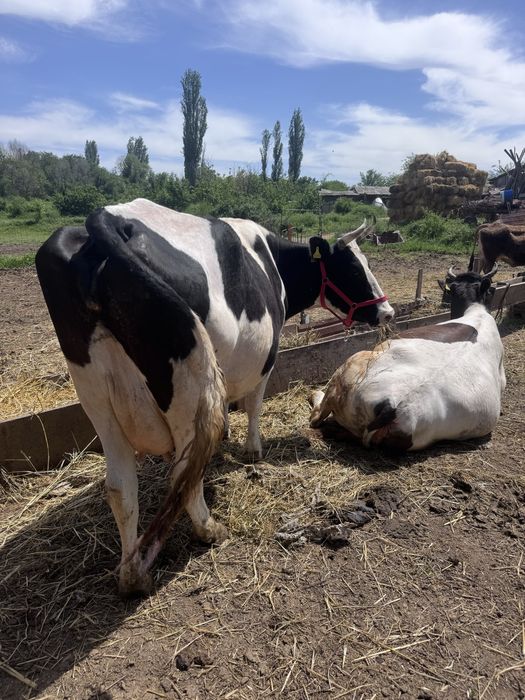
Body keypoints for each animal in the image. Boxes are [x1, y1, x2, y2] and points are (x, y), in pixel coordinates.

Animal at [35, 198, 394, 595]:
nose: (387, 311)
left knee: (121, 486)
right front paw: (253, 449)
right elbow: (254, 406)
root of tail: (106, 220)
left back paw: (132, 573)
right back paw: (208, 529)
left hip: (97, 397)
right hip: (185, 385)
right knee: (183, 472)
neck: (271, 257)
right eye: (353, 267)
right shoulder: (268, 357)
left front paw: (224, 438)